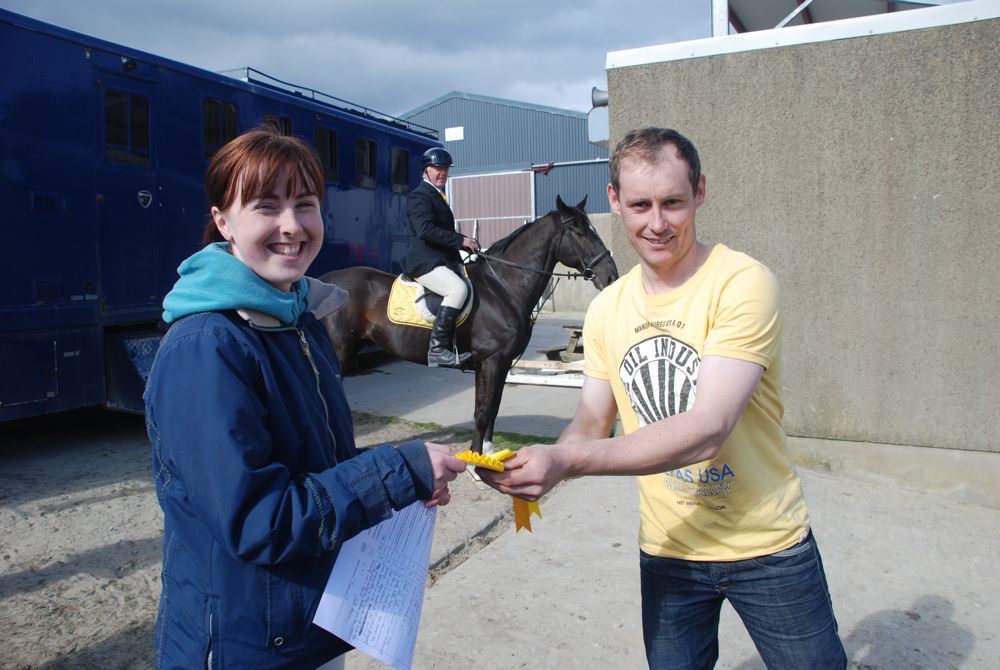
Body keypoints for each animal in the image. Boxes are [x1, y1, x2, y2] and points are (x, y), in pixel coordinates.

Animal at [318, 195, 619, 454]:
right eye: (580, 232)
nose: (610, 276)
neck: (503, 287)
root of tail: (322, 282)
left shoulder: (500, 363)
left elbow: (492, 408)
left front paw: (489, 455)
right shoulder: (491, 361)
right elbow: (483, 411)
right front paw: (475, 461)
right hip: (340, 352)